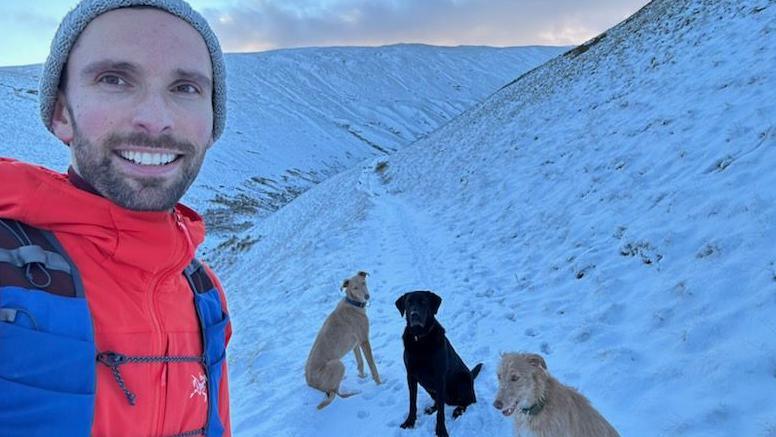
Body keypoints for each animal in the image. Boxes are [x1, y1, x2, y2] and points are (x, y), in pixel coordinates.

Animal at [304, 270, 382, 408]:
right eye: (355, 288)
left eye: (363, 282)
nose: (367, 296)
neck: (353, 303)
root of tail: (311, 384)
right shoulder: (364, 340)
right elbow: (372, 366)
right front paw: (380, 384)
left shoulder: (355, 344)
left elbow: (360, 362)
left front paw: (362, 377)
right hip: (338, 365)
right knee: (336, 394)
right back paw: (353, 394)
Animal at [398, 290, 482, 436]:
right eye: (408, 302)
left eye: (423, 302)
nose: (414, 314)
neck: (420, 339)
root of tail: (471, 376)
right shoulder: (411, 376)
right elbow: (412, 402)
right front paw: (409, 422)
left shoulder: (439, 377)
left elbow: (441, 412)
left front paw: (441, 431)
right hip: (427, 386)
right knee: (439, 401)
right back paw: (432, 408)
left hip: (463, 379)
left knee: (470, 400)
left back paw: (458, 410)